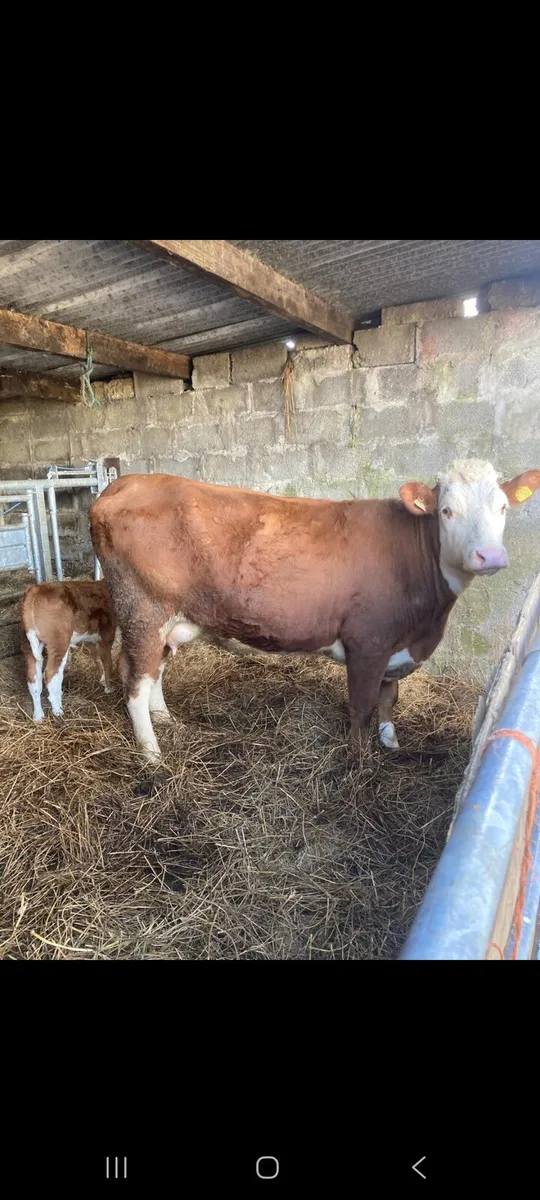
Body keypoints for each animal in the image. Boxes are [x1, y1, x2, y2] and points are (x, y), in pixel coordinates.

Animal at [20, 580, 116, 722]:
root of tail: (36, 589)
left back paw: (38, 716)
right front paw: (109, 688)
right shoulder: (106, 636)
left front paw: (102, 680)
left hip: (27, 645)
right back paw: (58, 710)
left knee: (33, 679)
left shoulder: (91, 640)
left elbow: (97, 660)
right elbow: (108, 663)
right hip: (59, 643)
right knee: (51, 674)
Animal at [89, 459, 540, 765]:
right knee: (135, 681)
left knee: (155, 671)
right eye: (447, 510)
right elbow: (362, 707)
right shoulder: (368, 643)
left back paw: (166, 720)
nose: (489, 555)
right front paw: (360, 762)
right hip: (143, 611)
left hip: (170, 619)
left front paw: (390, 741)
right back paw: (152, 754)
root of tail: (124, 484)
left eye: (502, 507)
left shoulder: (395, 644)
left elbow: (389, 697)